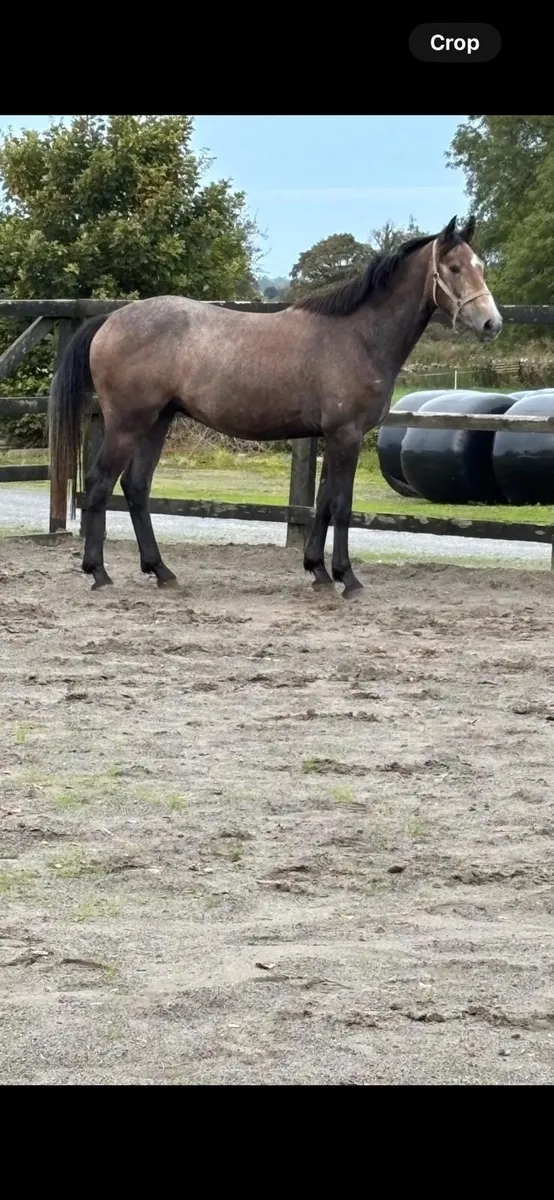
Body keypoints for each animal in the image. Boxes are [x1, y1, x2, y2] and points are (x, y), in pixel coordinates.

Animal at [48, 215, 502, 596]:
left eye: (481, 265)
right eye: (454, 268)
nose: (492, 323)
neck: (359, 336)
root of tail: (109, 320)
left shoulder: (332, 437)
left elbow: (322, 503)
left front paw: (318, 571)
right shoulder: (347, 435)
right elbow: (342, 505)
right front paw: (347, 578)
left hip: (158, 421)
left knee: (136, 487)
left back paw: (161, 571)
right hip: (129, 423)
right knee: (100, 484)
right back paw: (99, 573)